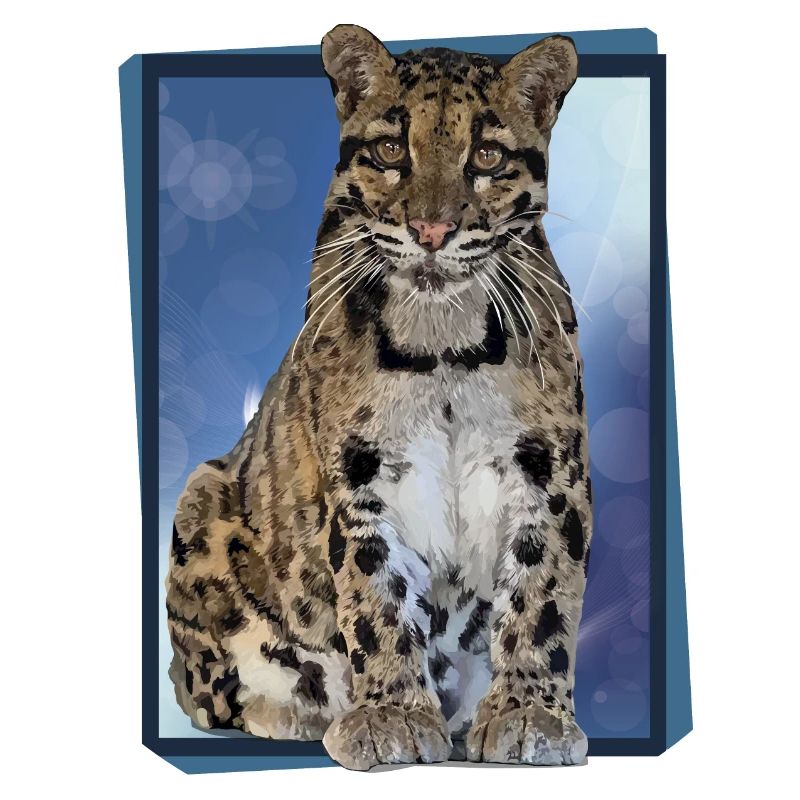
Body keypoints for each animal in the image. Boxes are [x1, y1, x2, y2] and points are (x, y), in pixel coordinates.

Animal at [166, 24, 591, 770]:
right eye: (393, 149)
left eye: (486, 155)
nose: (431, 231)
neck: (443, 343)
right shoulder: (358, 475)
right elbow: (375, 596)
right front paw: (391, 715)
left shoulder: (549, 471)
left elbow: (542, 595)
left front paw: (529, 714)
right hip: (200, 497)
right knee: (207, 691)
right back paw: (299, 711)